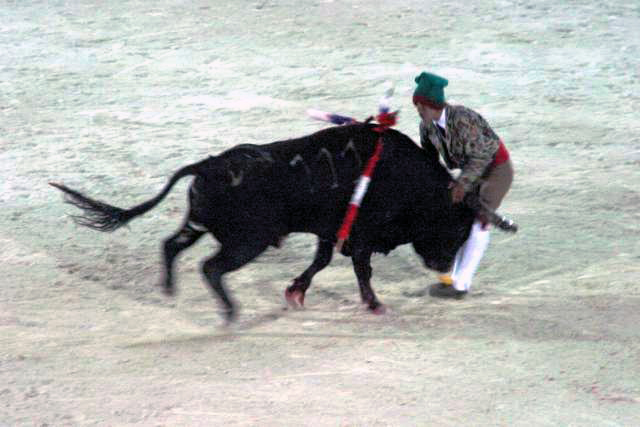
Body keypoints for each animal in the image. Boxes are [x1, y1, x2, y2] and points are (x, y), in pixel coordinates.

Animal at [52, 122, 516, 320]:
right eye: (455, 227)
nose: (443, 268)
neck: (408, 180)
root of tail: (208, 165)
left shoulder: (332, 232)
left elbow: (321, 262)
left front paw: (295, 292)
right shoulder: (362, 236)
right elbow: (360, 270)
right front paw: (374, 304)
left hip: (201, 225)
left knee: (172, 245)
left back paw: (169, 290)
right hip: (246, 242)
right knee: (211, 267)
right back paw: (230, 312)